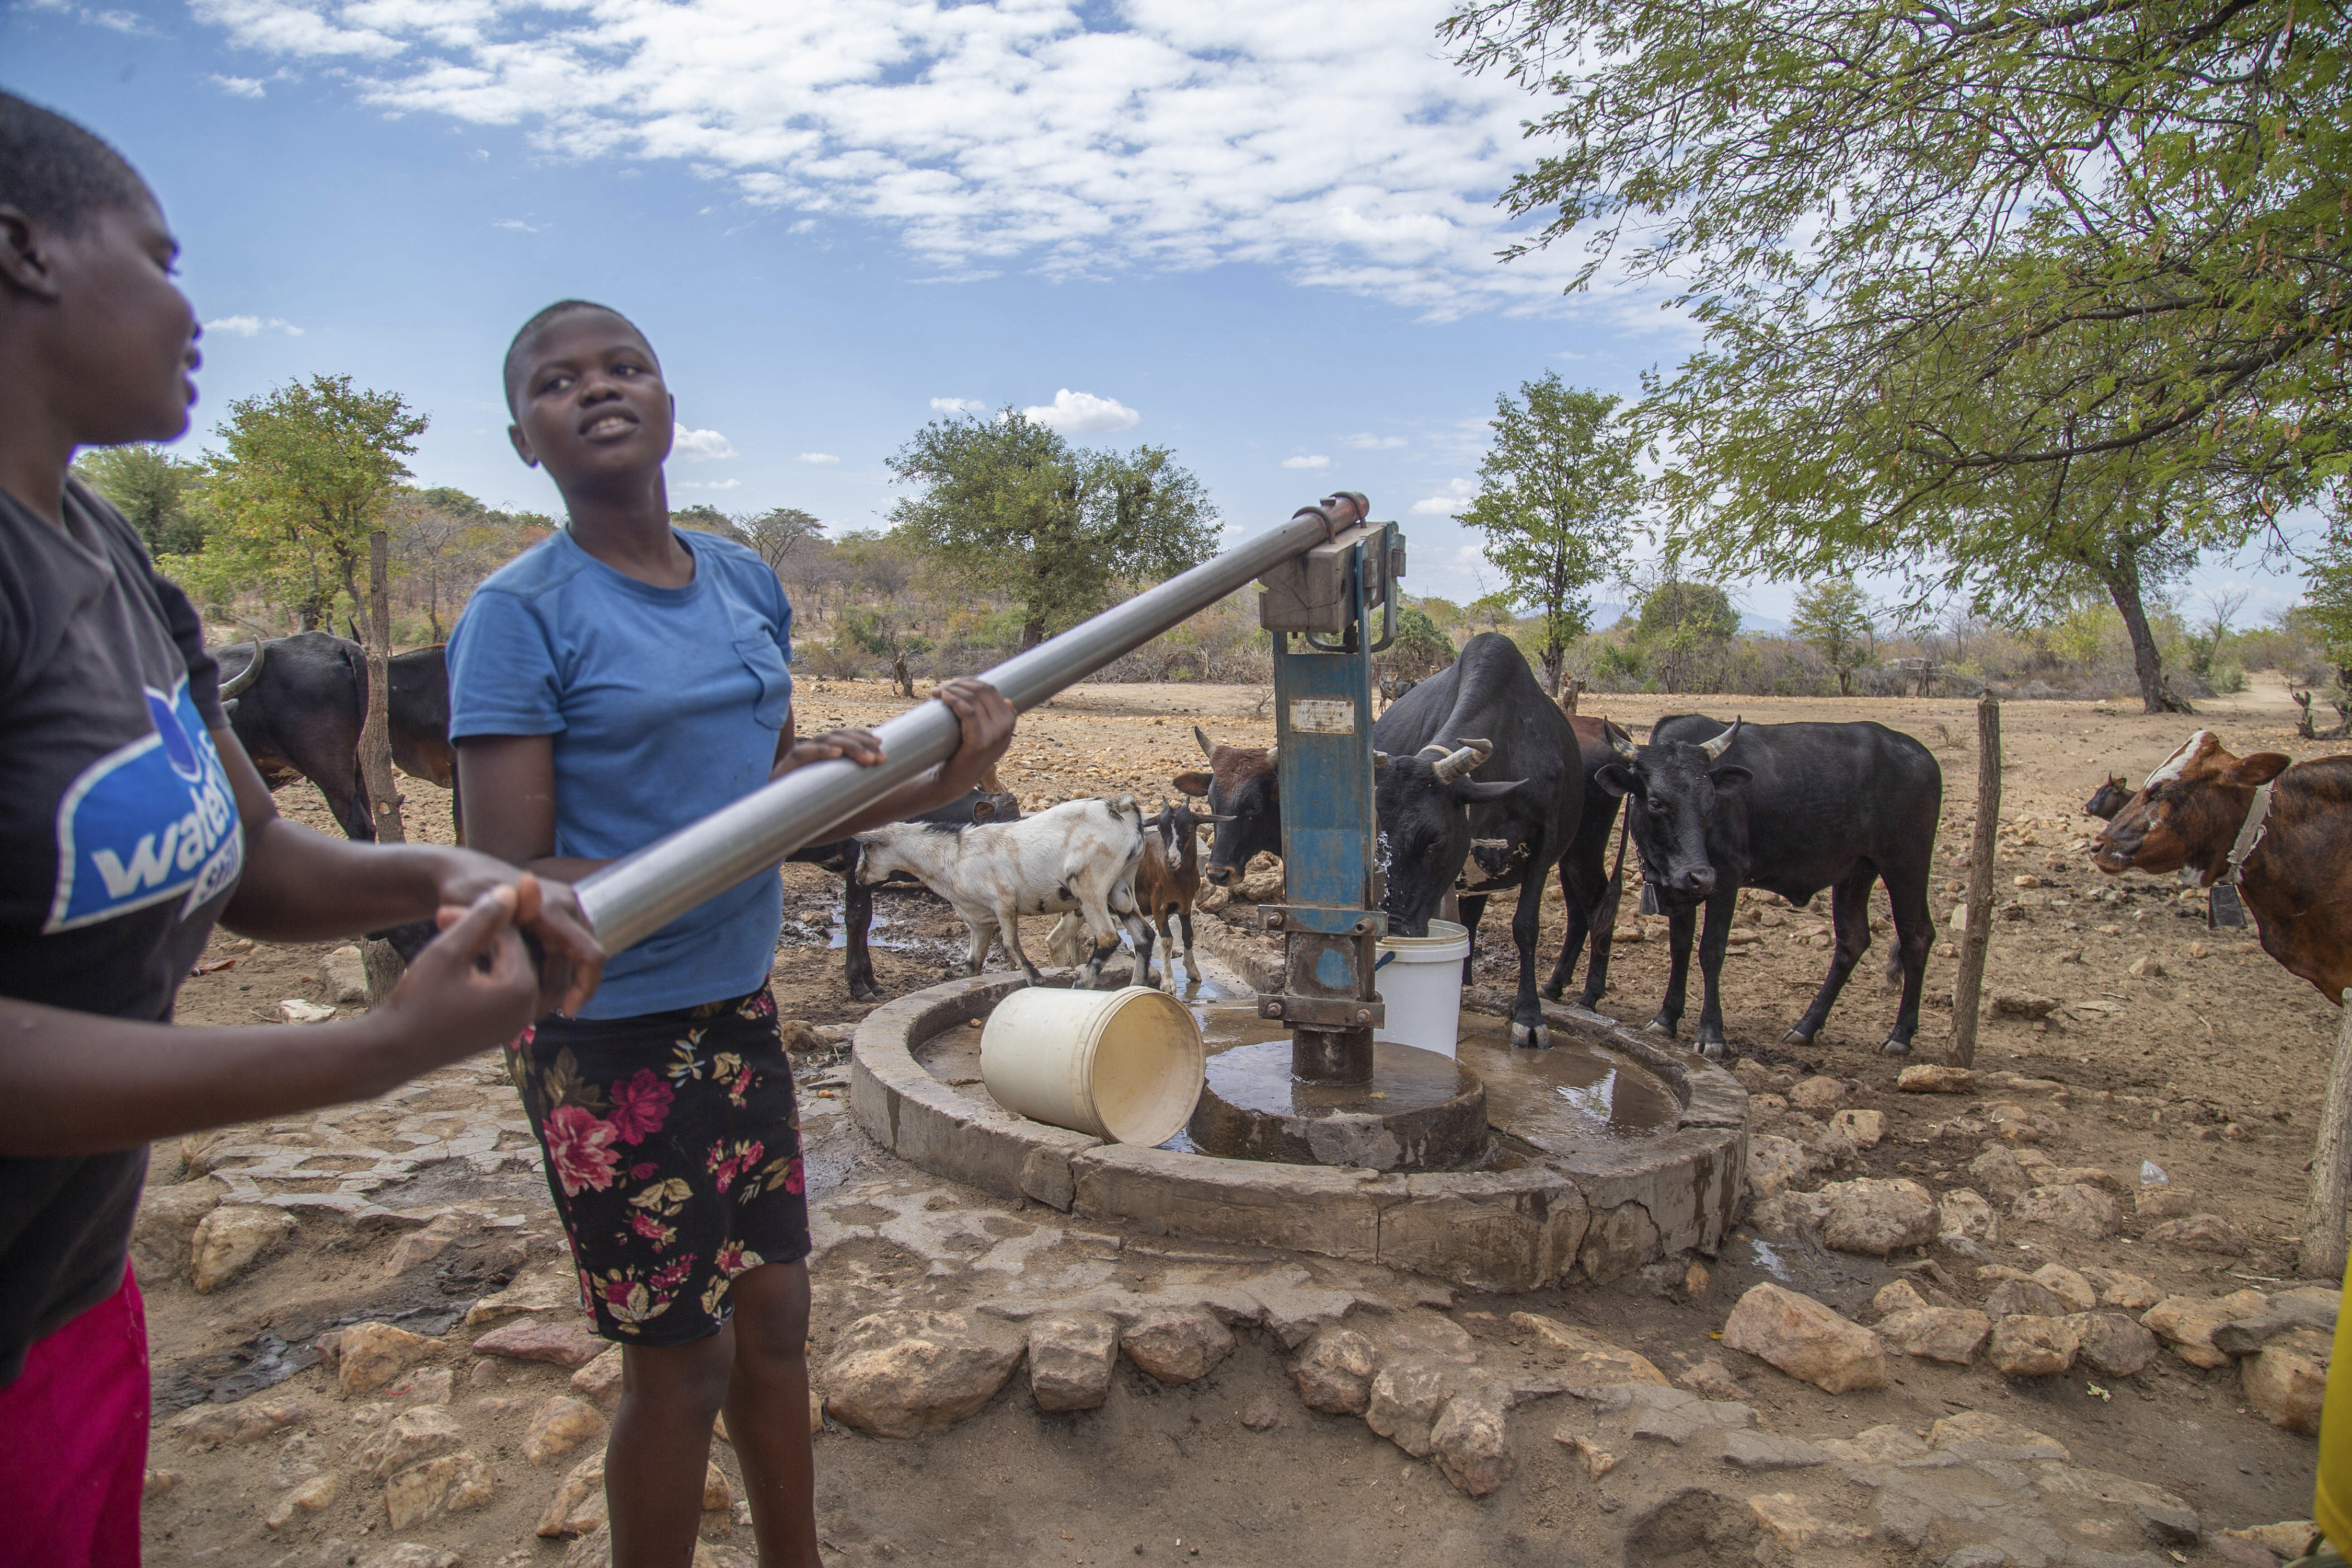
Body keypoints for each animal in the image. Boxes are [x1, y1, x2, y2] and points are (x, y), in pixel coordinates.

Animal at [866, 790, 1157, 987]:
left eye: (867, 847)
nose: (859, 876)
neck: (953, 854)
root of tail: (1122, 812)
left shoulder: (1003, 903)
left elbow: (1011, 945)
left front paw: (1037, 980)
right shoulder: (978, 922)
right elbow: (972, 964)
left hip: (1090, 886)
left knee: (1108, 938)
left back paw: (1080, 985)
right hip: (1120, 888)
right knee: (1143, 935)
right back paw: (1135, 987)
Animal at [1374, 630, 1590, 1048]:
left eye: (1434, 840)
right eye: (1376, 837)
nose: (1393, 930)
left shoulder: (1545, 844)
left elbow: (1526, 927)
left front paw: (1530, 1016)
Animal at [1599, 719, 1947, 1062]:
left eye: (1710, 805)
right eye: (1656, 803)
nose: (1702, 876)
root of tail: (1921, 755)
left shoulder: (1726, 878)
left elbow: (1711, 951)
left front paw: (1711, 1034)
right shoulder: (1679, 887)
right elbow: (1680, 948)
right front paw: (1666, 1018)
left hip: (1906, 865)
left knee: (1917, 938)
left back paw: (1900, 1035)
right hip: (1857, 873)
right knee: (1853, 941)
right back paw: (1807, 1027)